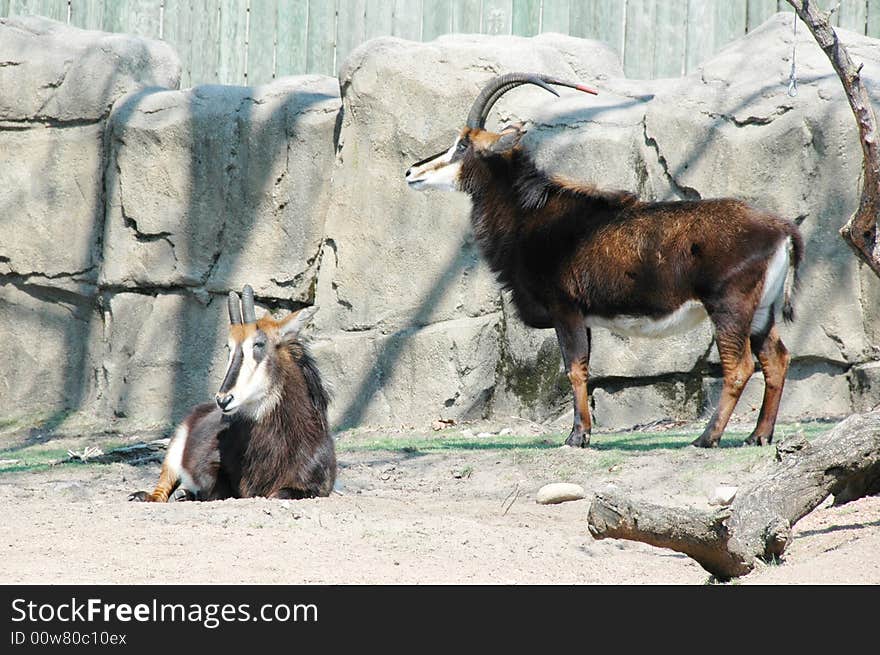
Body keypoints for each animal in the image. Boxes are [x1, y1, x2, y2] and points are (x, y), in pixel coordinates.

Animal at [129, 288, 336, 502]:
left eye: (259, 343)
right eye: (229, 347)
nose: (223, 400)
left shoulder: (317, 487)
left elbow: (280, 493)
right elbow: (220, 490)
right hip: (174, 450)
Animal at [406, 73, 804, 452]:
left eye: (462, 144)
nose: (411, 172)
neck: (533, 213)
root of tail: (781, 228)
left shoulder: (565, 309)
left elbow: (574, 370)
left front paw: (576, 437)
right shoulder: (583, 317)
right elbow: (584, 369)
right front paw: (583, 433)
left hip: (729, 307)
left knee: (739, 367)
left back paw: (707, 438)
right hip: (760, 312)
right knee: (776, 360)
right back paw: (758, 436)